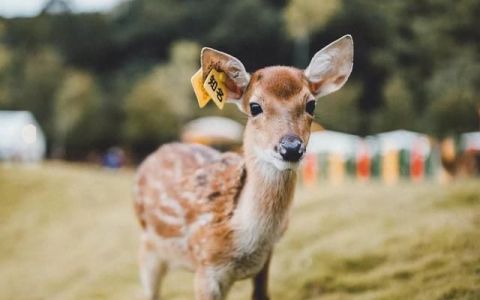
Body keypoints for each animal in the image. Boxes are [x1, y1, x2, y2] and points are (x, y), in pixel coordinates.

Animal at [133, 35, 354, 300]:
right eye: (255, 107)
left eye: (311, 105)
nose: (291, 147)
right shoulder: (206, 266)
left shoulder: (266, 260)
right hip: (148, 248)